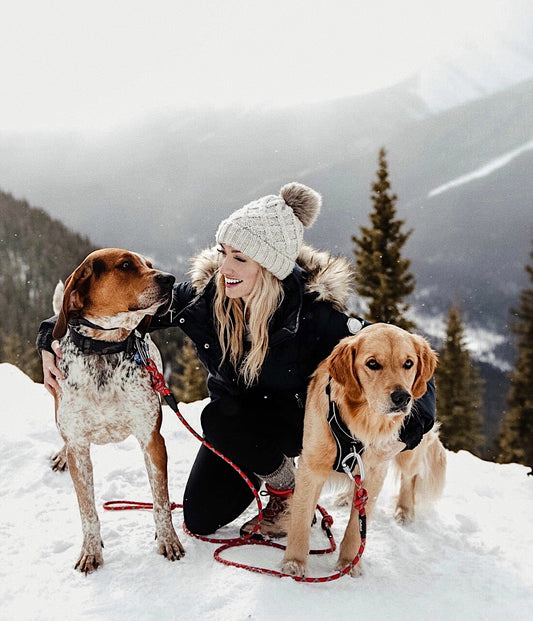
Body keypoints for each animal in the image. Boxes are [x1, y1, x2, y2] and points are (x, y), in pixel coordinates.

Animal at [50, 247, 183, 572]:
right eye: (124, 265)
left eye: (149, 264)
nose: (170, 279)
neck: (104, 349)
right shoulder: (79, 448)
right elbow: (87, 510)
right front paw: (90, 551)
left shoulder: (152, 439)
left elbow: (161, 502)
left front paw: (168, 540)